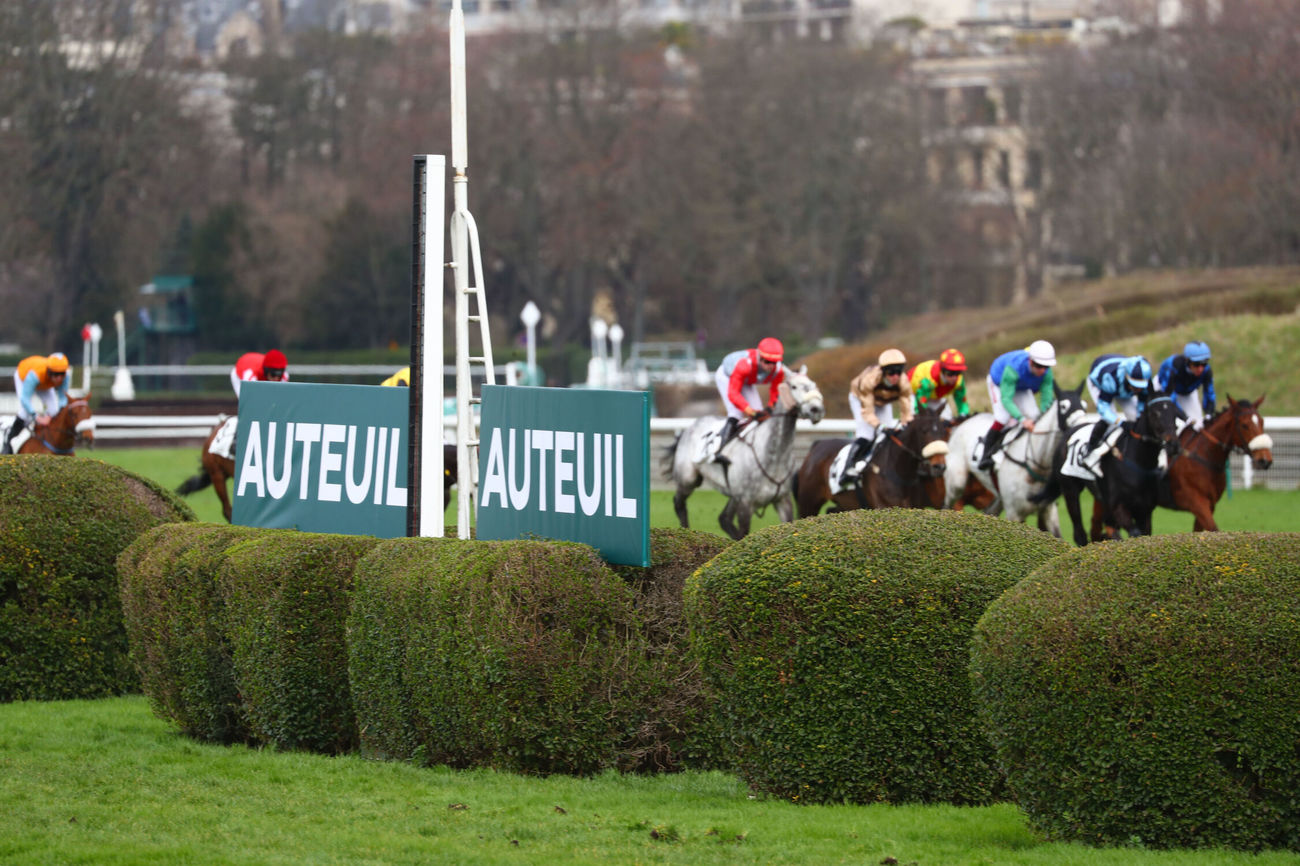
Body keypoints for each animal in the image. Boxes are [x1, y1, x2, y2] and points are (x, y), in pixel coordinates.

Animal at [665, 366, 826, 540]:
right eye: (794, 387)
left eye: (814, 385)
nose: (816, 409)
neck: (774, 456)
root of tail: (688, 428)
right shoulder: (745, 503)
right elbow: (744, 533)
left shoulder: (782, 500)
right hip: (688, 479)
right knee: (679, 503)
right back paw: (685, 532)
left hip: (733, 494)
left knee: (724, 518)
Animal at [785, 400, 951, 514]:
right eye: (924, 430)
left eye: (943, 431)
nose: (939, 466)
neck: (897, 471)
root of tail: (817, 445)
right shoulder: (883, 506)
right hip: (809, 502)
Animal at [1029, 392, 1185, 543]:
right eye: (1155, 413)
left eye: (1175, 414)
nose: (1173, 445)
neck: (1138, 465)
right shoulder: (1119, 507)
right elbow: (1134, 533)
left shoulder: (1145, 511)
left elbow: (1141, 534)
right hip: (1070, 489)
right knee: (1080, 533)